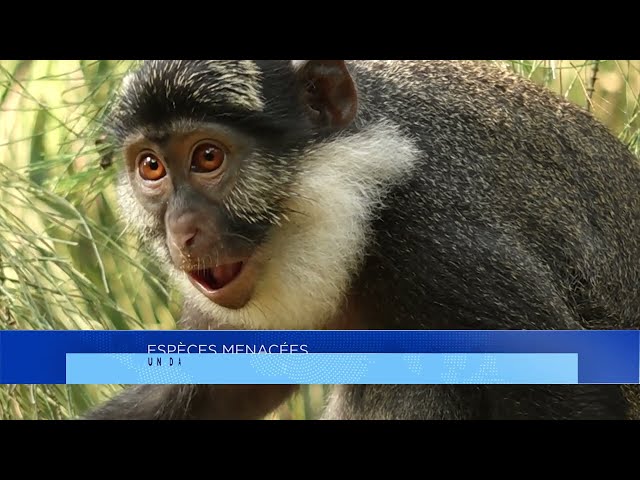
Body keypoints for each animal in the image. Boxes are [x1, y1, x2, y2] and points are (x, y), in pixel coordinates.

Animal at [85, 60, 640, 420]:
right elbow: (211, 391)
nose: (182, 230)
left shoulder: (438, 243)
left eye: (207, 157)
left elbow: (577, 396)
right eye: (151, 167)